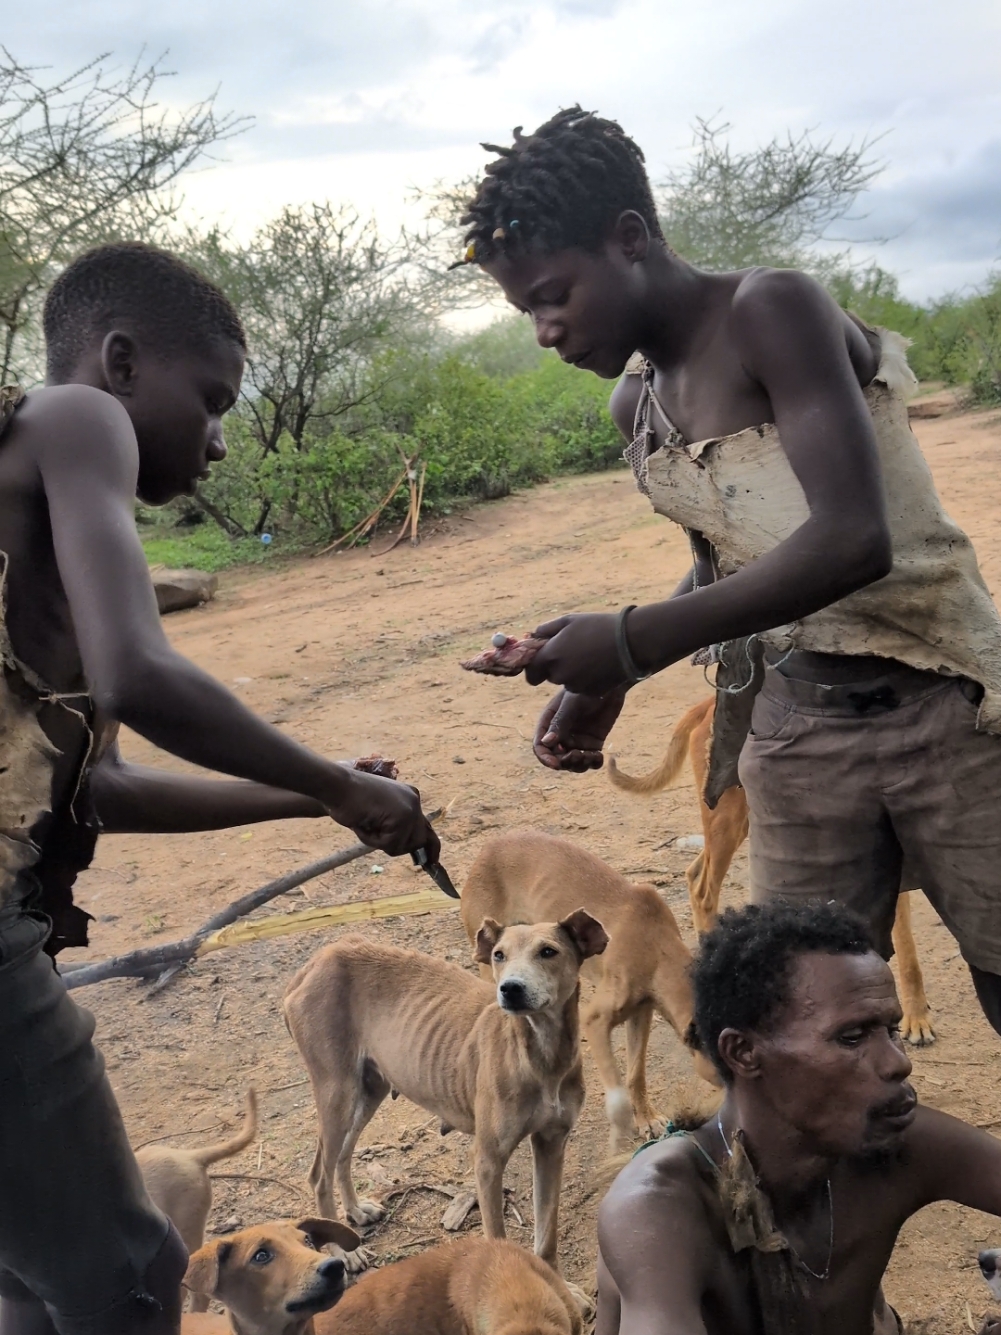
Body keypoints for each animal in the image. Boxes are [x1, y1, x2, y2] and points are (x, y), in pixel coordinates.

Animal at [285, 907, 608, 1281]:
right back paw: (342, 1251)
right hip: (337, 1092)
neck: (542, 1056)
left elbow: (547, 1235)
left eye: (548, 952)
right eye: (499, 955)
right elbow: (497, 1236)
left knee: (342, 1155)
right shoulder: (488, 1160)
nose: (509, 989)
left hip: (369, 1088)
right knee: (318, 1175)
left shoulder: (552, 1143)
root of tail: (316, 961)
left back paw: (354, 1212)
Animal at [461, 827, 720, 1153]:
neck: (656, 947)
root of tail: (486, 850)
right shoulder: (595, 1021)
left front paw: (646, 1118)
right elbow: (617, 1090)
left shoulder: (641, 1014)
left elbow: (635, 1075)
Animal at [608, 694, 939, 1046]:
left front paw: (916, 1015)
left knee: (694, 872)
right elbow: (907, 953)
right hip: (728, 820)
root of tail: (706, 703)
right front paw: (915, 1018)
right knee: (703, 890)